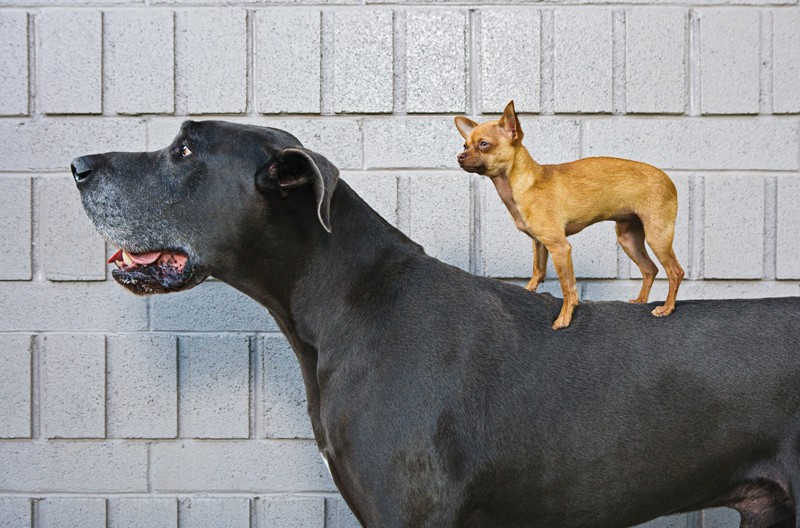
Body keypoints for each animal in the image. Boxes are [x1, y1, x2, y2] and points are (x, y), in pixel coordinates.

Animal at [456, 101, 680, 328]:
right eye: (465, 145)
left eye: (484, 144)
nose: (459, 156)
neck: (523, 183)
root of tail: (668, 179)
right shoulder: (540, 243)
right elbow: (538, 271)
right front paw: (529, 291)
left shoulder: (560, 248)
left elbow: (568, 288)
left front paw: (564, 317)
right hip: (629, 239)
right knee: (650, 269)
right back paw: (641, 300)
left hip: (657, 236)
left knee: (675, 272)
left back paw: (667, 308)